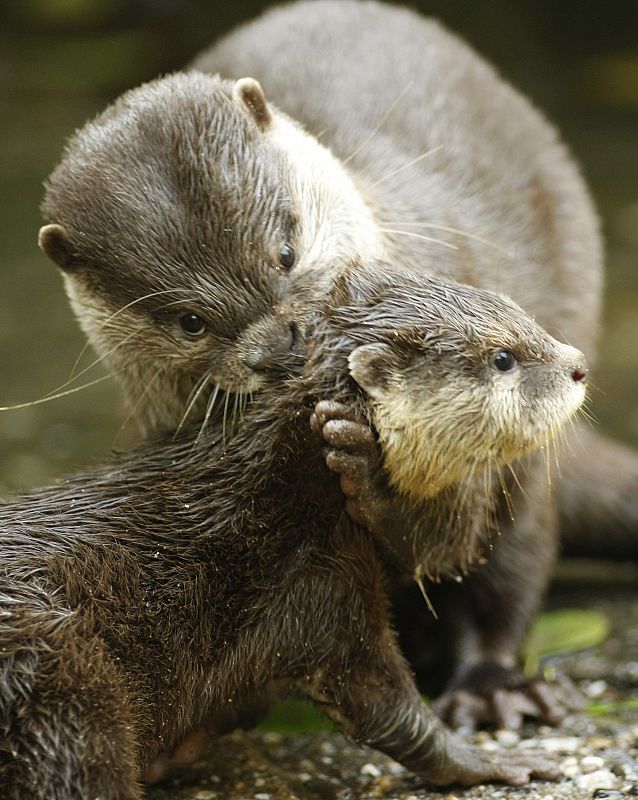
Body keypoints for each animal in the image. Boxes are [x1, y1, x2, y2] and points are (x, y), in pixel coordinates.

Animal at [0, 266, 592, 796]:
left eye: (525, 316)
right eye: (503, 358)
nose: (579, 365)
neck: (286, 471)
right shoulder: (320, 580)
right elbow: (382, 705)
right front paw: (489, 762)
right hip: (63, 677)